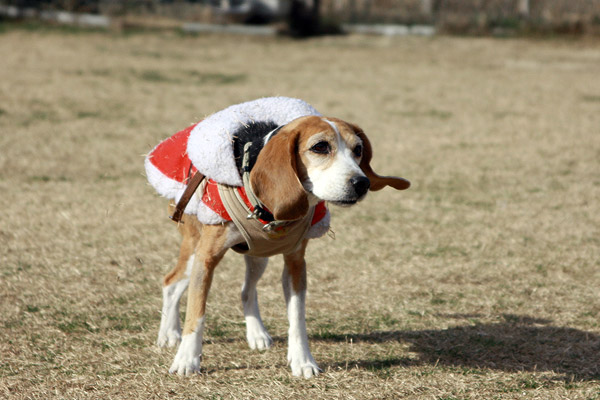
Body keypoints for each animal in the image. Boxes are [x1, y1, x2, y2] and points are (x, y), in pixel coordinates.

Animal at [155, 114, 410, 376]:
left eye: (358, 149)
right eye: (320, 147)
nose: (362, 183)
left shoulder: (296, 262)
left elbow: (297, 317)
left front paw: (303, 361)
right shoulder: (206, 259)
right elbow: (196, 313)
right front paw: (187, 360)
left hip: (259, 256)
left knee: (246, 290)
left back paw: (256, 334)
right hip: (193, 254)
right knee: (171, 282)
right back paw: (169, 334)